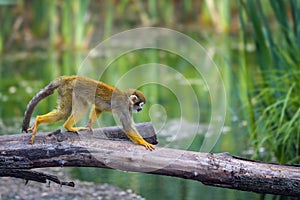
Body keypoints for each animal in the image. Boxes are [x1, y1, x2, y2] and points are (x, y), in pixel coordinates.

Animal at [21, 76, 155, 151]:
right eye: (140, 104)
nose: (140, 109)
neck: (127, 101)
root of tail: (68, 78)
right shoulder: (124, 108)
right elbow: (127, 127)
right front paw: (144, 142)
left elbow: (99, 107)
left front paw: (89, 125)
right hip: (70, 89)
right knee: (69, 111)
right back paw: (40, 120)